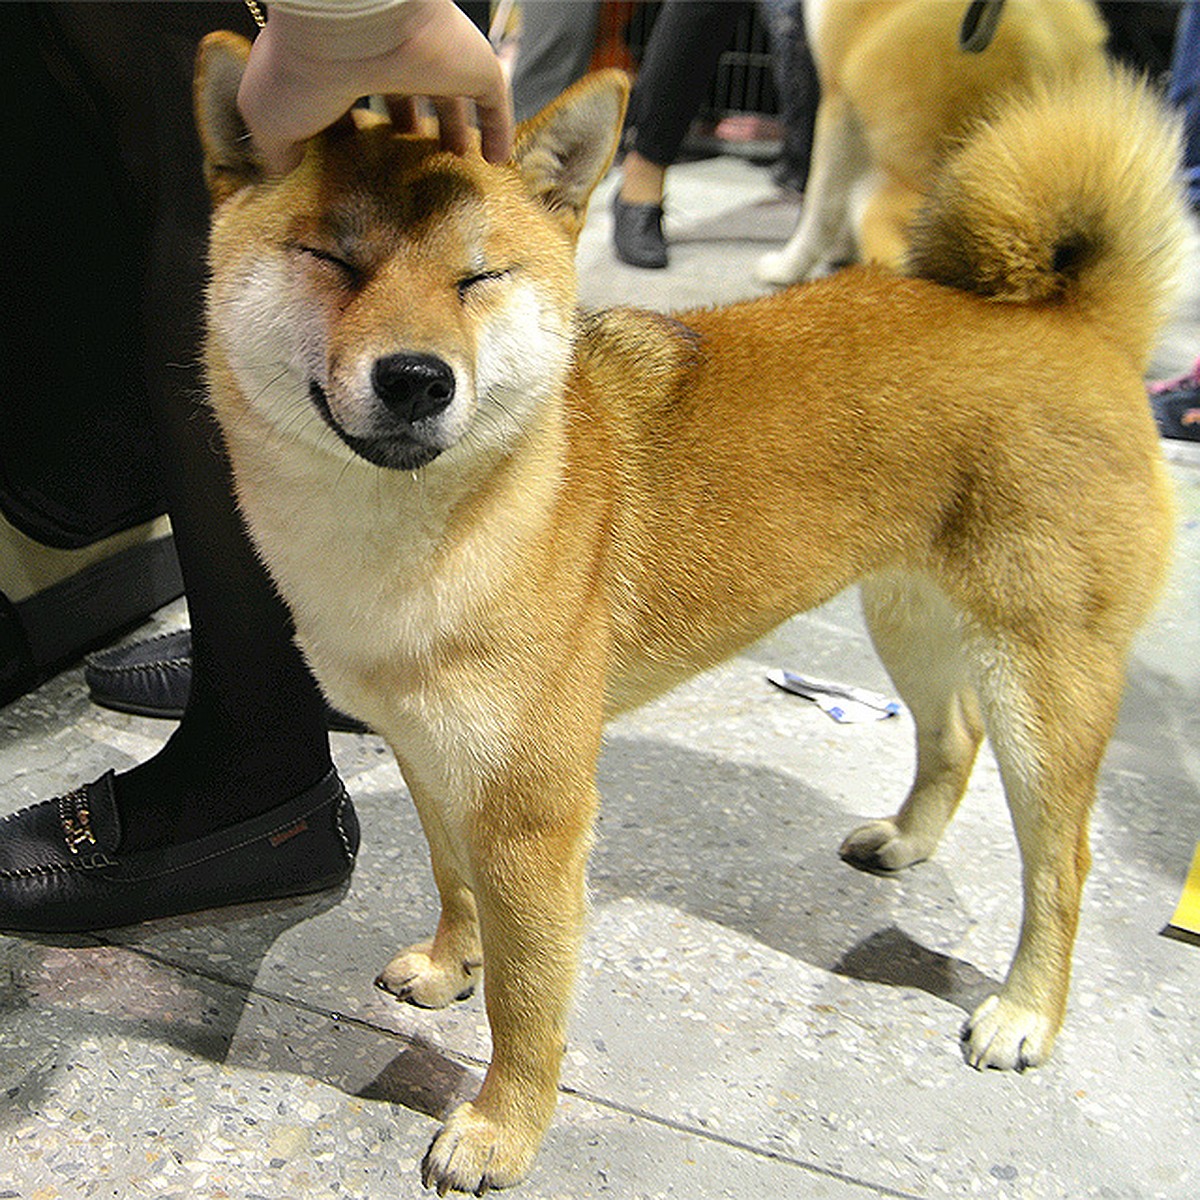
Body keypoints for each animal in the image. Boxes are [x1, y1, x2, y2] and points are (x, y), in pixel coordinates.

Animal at [194, 31, 1184, 1194]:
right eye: (333, 261)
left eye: (477, 278)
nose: (415, 379)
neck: (416, 536)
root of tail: (1082, 324)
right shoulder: (432, 753)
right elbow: (454, 884)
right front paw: (450, 964)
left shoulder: (532, 811)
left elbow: (529, 1001)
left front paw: (503, 1127)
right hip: (911, 619)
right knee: (952, 736)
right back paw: (905, 841)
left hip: (1044, 683)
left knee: (1060, 864)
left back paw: (1026, 1011)